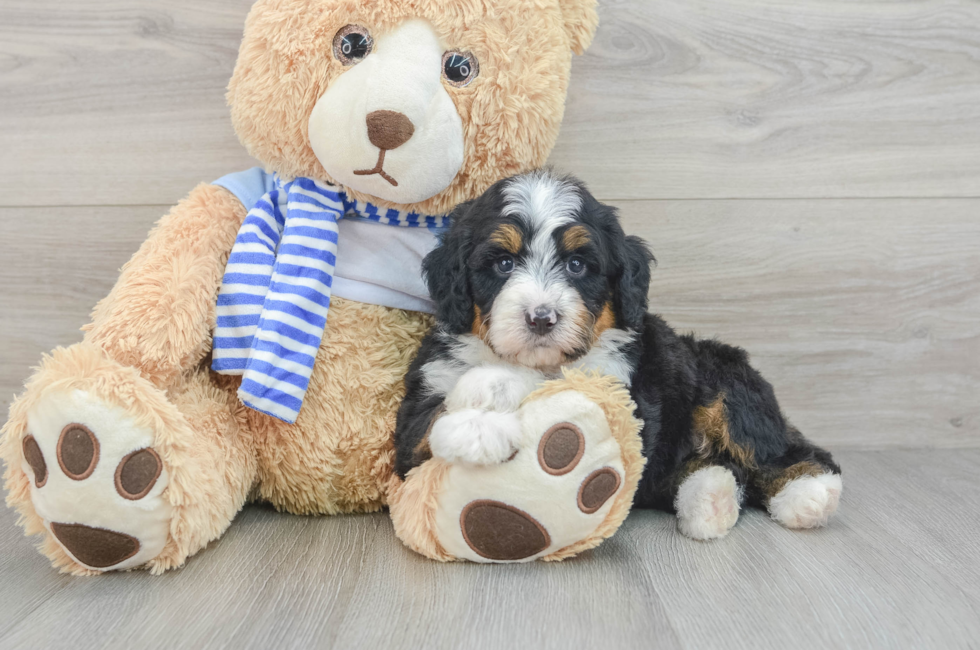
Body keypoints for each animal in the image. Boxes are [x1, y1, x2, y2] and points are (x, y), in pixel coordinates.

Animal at [396, 171, 844, 536]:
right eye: (503, 263)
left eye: (577, 265)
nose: (541, 318)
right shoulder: (415, 420)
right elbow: (429, 422)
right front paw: (476, 423)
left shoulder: (623, 401)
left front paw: (483, 412)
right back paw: (710, 501)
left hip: (726, 381)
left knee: (779, 448)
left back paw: (807, 493)